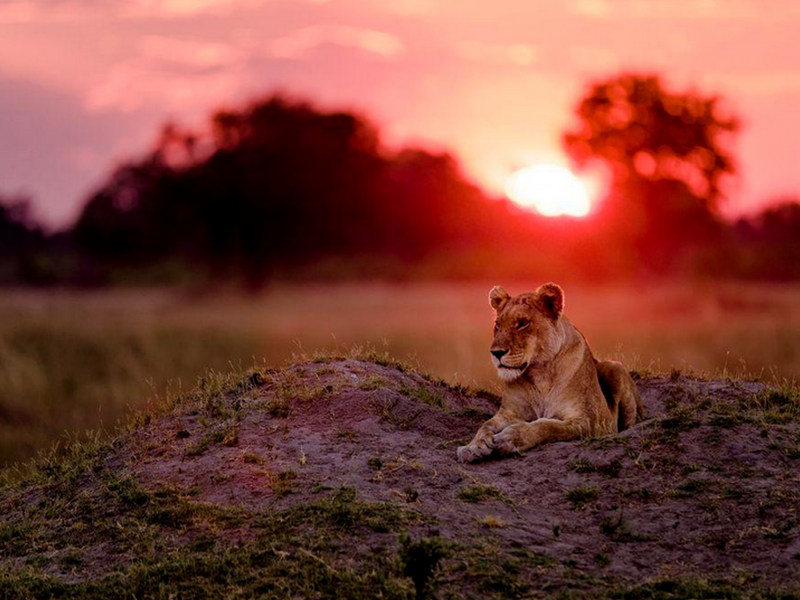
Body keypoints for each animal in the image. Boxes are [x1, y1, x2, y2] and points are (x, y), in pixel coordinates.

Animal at [460, 282, 640, 464]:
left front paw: (511, 438)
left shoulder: (590, 420)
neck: (540, 373)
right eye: (497, 325)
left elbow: (547, 425)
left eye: (522, 323)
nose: (496, 353)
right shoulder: (509, 413)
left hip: (614, 367)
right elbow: (486, 425)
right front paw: (472, 447)